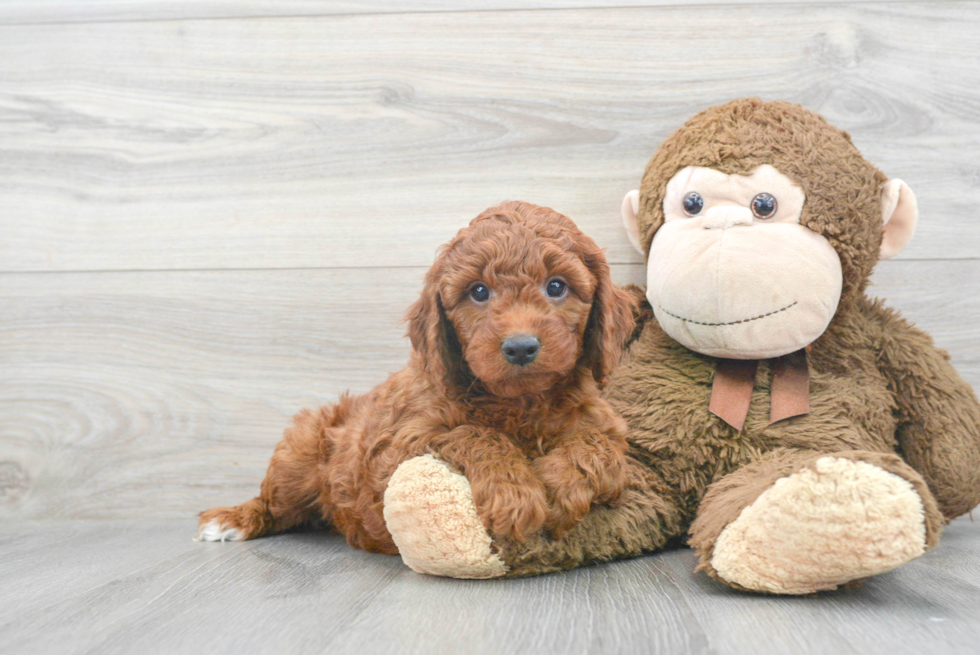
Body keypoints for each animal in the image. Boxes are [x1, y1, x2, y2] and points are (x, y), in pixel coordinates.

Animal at [197, 202, 636, 552]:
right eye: (479, 292)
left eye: (556, 287)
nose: (521, 347)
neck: (520, 402)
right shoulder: (395, 448)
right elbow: (473, 433)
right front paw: (513, 493)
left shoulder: (604, 424)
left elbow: (601, 448)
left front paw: (561, 485)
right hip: (300, 450)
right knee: (275, 504)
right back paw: (231, 519)